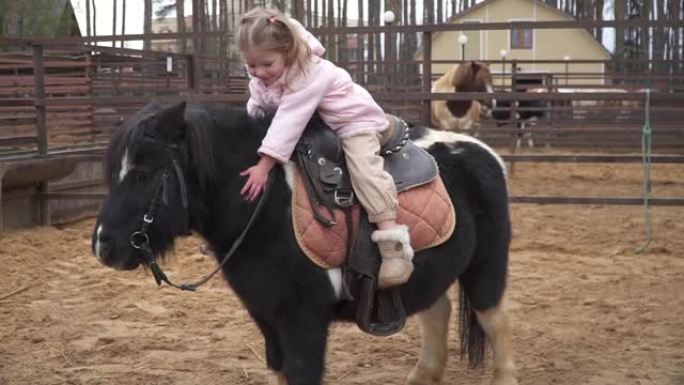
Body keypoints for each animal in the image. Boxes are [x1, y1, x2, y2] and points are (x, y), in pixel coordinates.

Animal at [92, 101, 520, 384]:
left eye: (144, 173)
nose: (103, 246)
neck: (268, 210)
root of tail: (485, 153)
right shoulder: (268, 320)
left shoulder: (304, 323)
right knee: (438, 312)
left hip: (485, 268)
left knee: (496, 322)